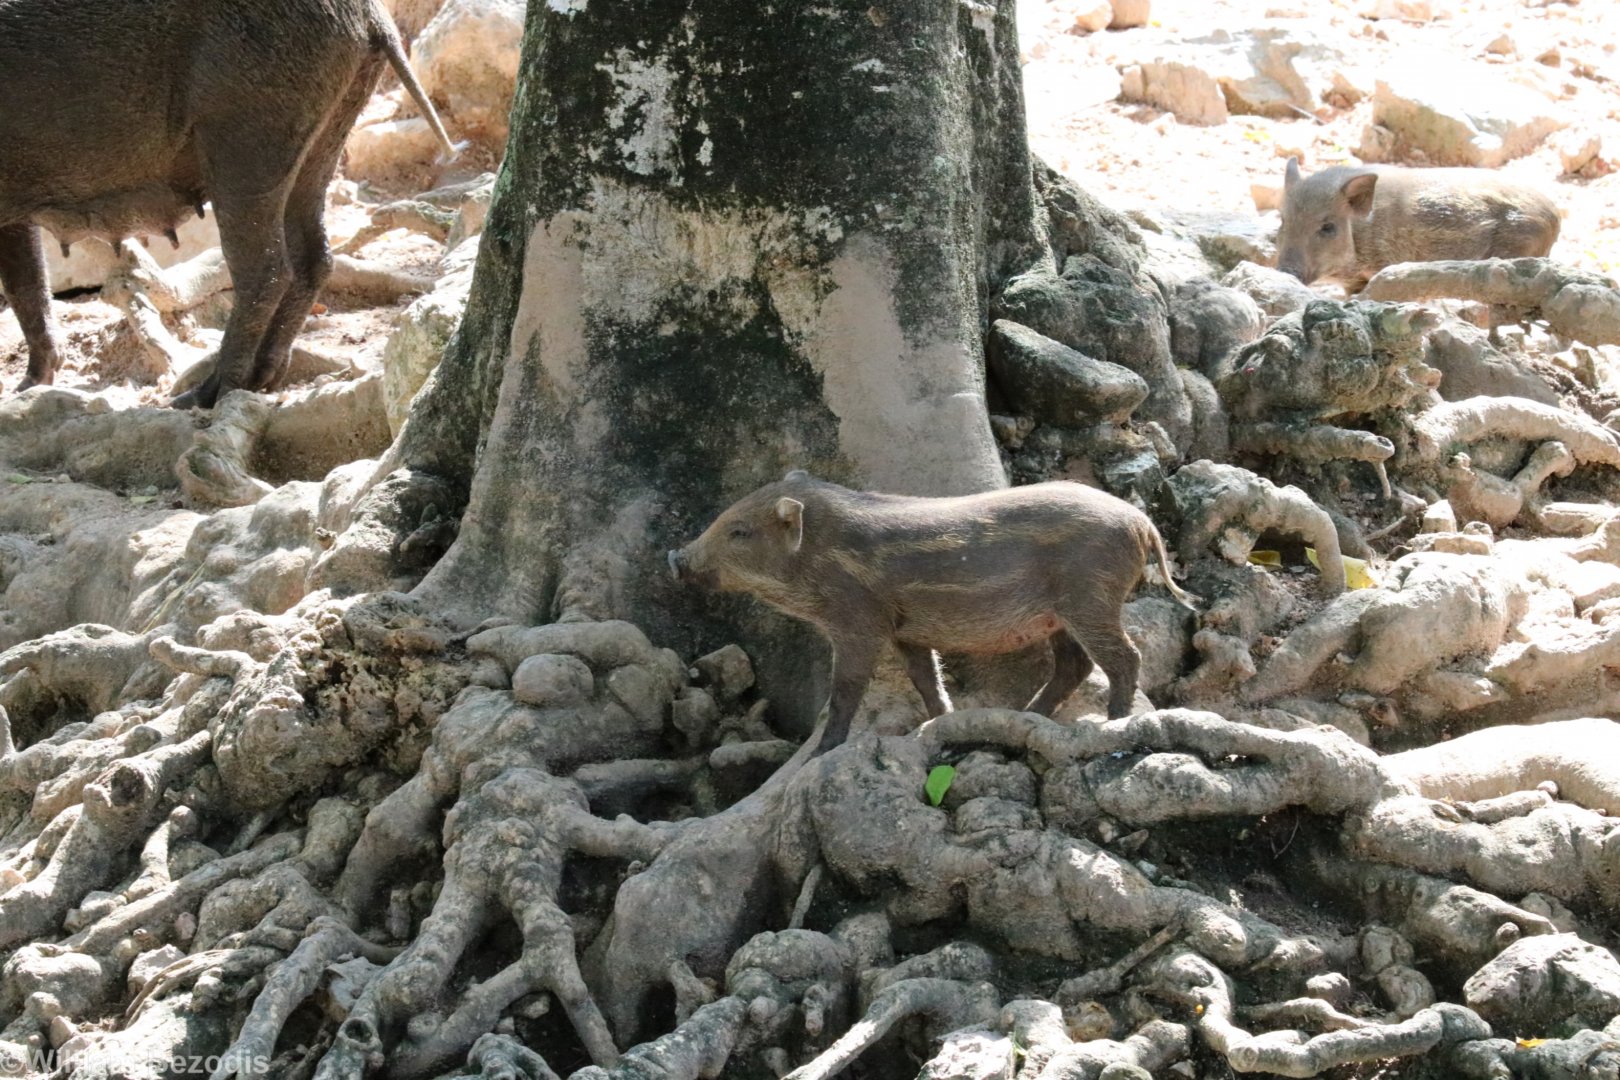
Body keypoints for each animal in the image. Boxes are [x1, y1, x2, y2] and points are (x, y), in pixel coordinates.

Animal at [0, 0, 453, 406]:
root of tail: (374, 17)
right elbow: (28, 285)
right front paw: (27, 389)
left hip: (247, 133)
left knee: (266, 270)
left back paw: (204, 395)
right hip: (326, 132)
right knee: (315, 257)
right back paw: (261, 380)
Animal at [668, 471, 1198, 753]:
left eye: (739, 532)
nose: (676, 557)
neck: (819, 560)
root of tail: (1142, 523)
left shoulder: (858, 621)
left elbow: (846, 688)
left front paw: (823, 750)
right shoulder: (906, 631)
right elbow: (926, 678)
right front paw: (938, 723)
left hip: (1091, 599)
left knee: (1124, 658)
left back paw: (1113, 722)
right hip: (1063, 615)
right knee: (1076, 664)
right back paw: (1026, 715)